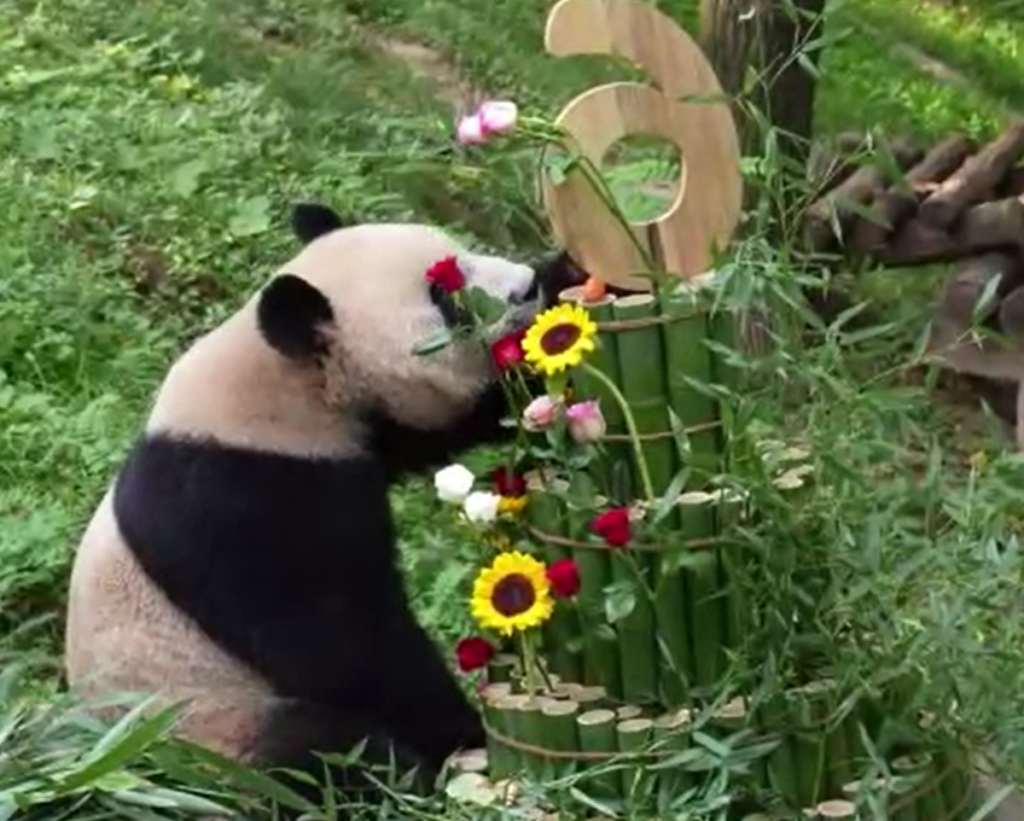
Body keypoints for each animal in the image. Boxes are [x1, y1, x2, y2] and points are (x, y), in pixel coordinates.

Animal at [62, 202, 584, 813]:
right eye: (442, 294)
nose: (523, 287)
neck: (283, 385)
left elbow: (453, 420)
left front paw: (565, 280)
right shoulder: (247, 501)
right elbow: (341, 646)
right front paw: (461, 733)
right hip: (206, 729)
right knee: (314, 753)